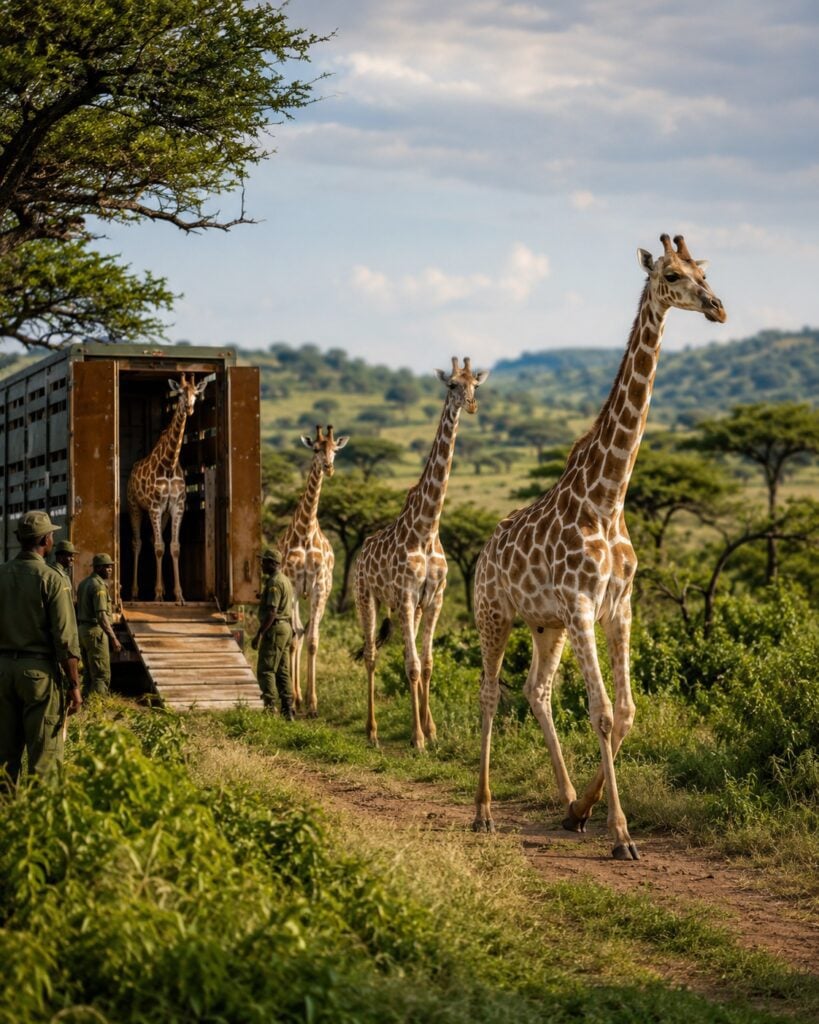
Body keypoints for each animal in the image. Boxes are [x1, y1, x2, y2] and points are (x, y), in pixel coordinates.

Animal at [126, 372, 213, 604]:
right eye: (180, 392)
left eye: (196, 393)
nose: (189, 408)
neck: (170, 463)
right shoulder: (155, 506)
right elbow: (158, 548)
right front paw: (156, 595)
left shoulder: (175, 506)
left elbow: (173, 547)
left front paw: (179, 595)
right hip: (135, 507)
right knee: (137, 542)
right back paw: (136, 592)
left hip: (162, 514)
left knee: (154, 540)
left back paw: (163, 589)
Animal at [355, 357, 489, 750]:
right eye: (452, 385)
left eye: (476, 384)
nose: (471, 406)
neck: (428, 529)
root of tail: (361, 552)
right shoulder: (406, 593)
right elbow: (412, 664)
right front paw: (417, 737)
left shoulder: (434, 597)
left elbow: (427, 664)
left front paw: (431, 730)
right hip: (366, 596)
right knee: (371, 654)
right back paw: (372, 730)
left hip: (405, 606)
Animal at [472, 235, 726, 859]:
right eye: (671, 274)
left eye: (704, 270)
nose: (717, 307)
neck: (608, 499)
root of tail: (485, 550)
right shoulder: (584, 605)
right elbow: (604, 713)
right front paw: (622, 834)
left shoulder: (617, 607)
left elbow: (628, 712)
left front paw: (586, 811)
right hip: (495, 613)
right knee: (489, 693)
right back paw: (483, 812)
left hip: (546, 625)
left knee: (536, 690)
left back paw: (565, 801)